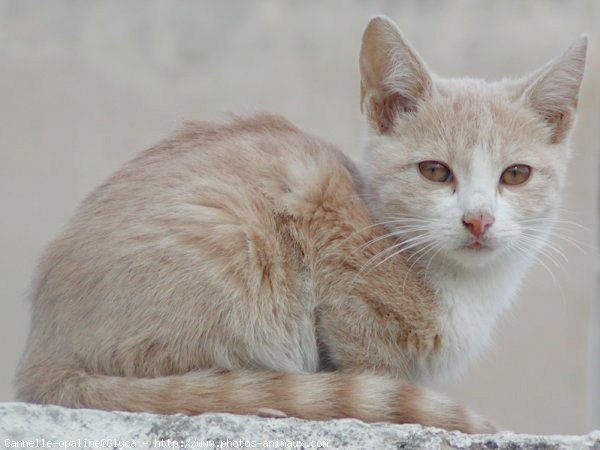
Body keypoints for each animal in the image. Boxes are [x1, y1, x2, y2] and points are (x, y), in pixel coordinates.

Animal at [14, 16, 584, 432]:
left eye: (516, 174)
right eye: (435, 171)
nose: (478, 219)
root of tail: (42, 348)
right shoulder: (331, 245)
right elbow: (373, 369)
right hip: (231, 245)